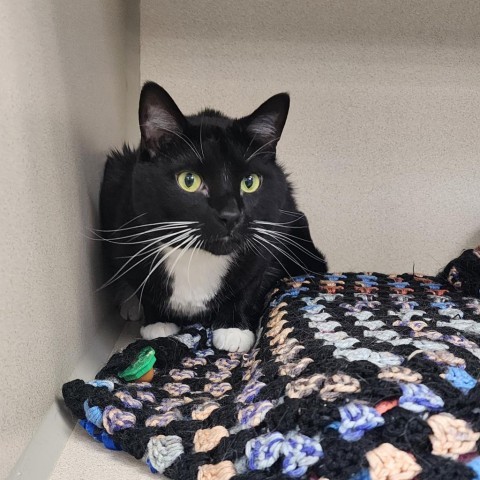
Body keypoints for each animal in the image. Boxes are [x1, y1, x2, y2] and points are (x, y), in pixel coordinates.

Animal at [99, 82, 328, 352]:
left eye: (250, 182)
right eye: (189, 180)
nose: (230, 215)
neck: (197, 258)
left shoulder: (271, 233)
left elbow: (250, 283)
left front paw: (233, 329)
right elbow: (140, 281)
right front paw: (157, 322)